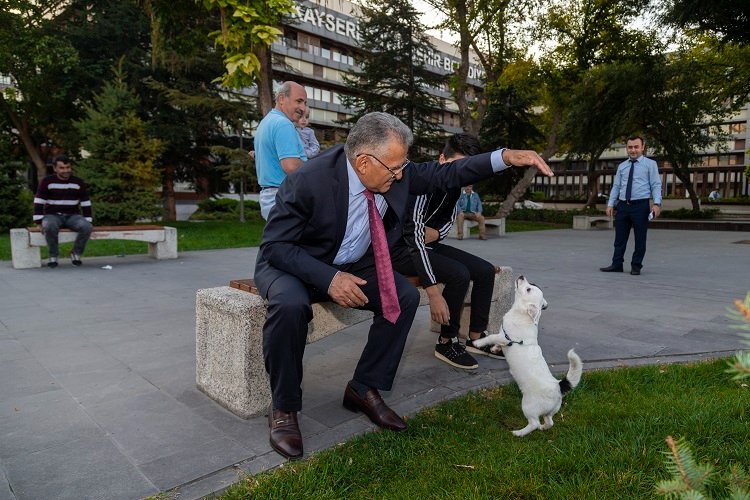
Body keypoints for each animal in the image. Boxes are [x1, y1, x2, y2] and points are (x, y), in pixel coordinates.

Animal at [472, 276, 584, 436]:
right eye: (532, 285)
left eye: (528, 289)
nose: (522, 276)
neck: (522, 314)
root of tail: (558, 386)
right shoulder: (504, 339)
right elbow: (497, 343)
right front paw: (494, 349)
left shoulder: (503, 336)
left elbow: (491, 337)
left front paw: (478, 342)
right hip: (551, 411)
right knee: (549, 422)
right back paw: (543, 427)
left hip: (528, 407)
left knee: (534, 423)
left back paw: (519, 433)